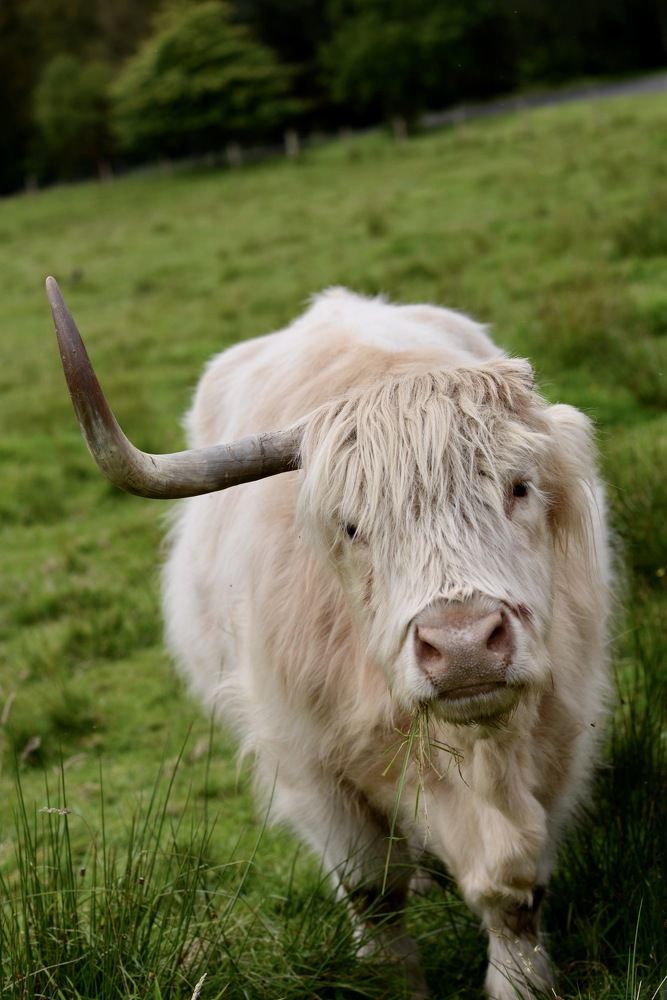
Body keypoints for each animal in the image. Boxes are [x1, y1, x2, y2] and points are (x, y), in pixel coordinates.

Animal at [47, 277, 611, 999]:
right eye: (350, 527)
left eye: (520, 487)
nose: (461, 648)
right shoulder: (310, 766)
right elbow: (372, 890)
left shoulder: (560, 732)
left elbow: (513, 891)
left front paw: (521, 980)